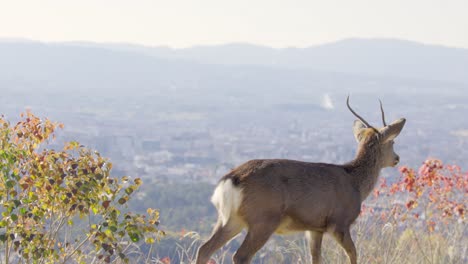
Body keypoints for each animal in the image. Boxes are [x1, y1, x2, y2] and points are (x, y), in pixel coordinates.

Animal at [195, 96, 406, 262]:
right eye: (392, 142)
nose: (397, 158)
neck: (356, 183)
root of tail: (231, 179)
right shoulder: (339, 222)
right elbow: (353, 254)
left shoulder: (315, 228)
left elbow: (316, 258)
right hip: (263, 219)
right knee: (240, 256)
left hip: (229, 219)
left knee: (204, 248)